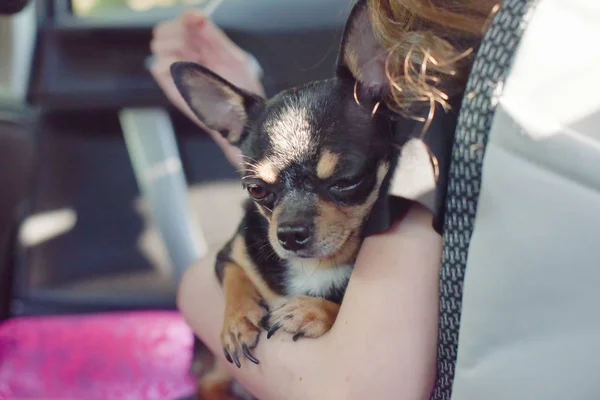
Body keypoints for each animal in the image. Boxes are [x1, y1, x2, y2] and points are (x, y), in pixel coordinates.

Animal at [171, 0, 400, 396]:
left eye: (347, 180)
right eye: (256, 189)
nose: (290, 234)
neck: (319, 266)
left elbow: (336, 304)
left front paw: (311, 310)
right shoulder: (230, 253)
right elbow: (236, 276)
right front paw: (237, 320)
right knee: (209, 386)